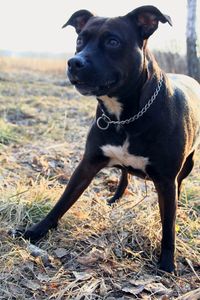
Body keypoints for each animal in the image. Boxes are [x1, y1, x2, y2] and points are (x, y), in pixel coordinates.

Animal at [22, 5, 200, 272]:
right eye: (79, 40)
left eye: (113, 42)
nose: (75, 62)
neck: (123, 115)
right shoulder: (88, 163)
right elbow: (64, 200)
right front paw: (36, 230)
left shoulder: (166, 179)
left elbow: (168, 225)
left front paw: (167, 263)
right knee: (124, 174)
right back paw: (115, 198)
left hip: (187, 165)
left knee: (178, 185)